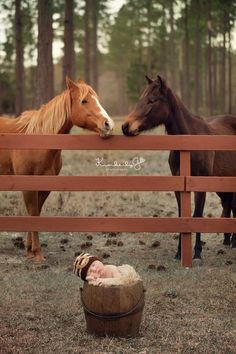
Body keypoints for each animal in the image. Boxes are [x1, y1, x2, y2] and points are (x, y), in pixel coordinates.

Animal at [0, 76, 114, 260]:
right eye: (84, 100)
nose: (108, 124)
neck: (38, 141)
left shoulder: (45, 186)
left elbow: (36, 213)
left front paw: (30, 250)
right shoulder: (27, 186)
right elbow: (32, 213)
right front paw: (37, 253)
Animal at [121, 75, 236, 260]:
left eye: (152, 100)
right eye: (141, 98)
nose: (126, 126)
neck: (187, 143)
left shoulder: (200, 186)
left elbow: (197, 215)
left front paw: (197, 252)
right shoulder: (178, 185)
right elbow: (182, 215)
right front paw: (179, 251)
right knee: (228, 203)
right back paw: (228, 239)